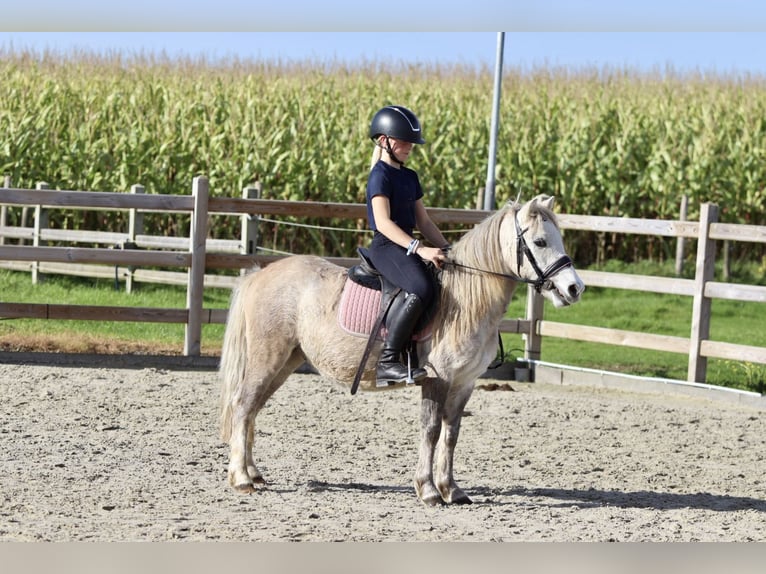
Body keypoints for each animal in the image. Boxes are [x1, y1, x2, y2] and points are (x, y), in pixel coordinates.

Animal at [219, 196, 584, 506]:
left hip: (286, 361)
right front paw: (429, 490)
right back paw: (241, 479)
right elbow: (431, 430)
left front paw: (452, 490)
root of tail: (260, 274)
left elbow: (451, 434)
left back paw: (253, 473)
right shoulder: (438, 378)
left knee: (251, 410)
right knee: (243, 405)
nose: (574, 288)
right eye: (540, 242)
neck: (465, 300)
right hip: (269, 358)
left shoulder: (464, 383)